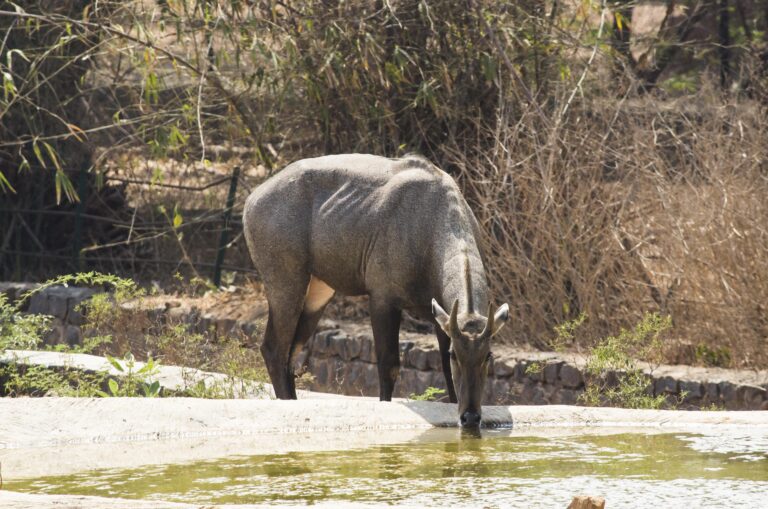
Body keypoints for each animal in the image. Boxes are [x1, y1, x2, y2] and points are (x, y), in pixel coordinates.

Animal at [244, 154, 510, 424]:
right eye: (457, 355)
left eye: (488, 355)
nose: (470, 417)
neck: (432, 223)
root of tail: (251, 201)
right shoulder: (383, 298)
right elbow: (388, 365)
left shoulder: (440, 315)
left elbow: (444, 371)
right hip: (286, 282)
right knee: (274, 349)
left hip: (318, 292)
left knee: (290, 353)